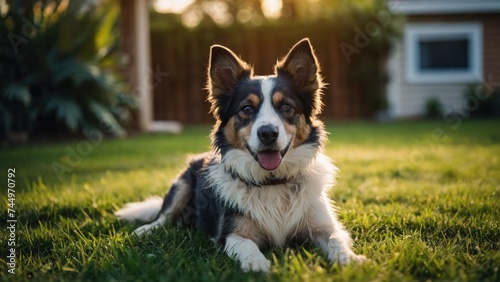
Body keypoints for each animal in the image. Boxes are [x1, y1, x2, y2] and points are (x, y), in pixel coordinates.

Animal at [117, 38, 368, 272]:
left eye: (286, 106)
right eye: (247, 109)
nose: (268, 133)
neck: (272, 182)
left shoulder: (323, 226)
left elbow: (335, 239)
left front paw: (350, 259)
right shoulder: (230, 233)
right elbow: (247, 245)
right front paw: (257, 264)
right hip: (181, 185)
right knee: (164, 216)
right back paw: (145, 230)